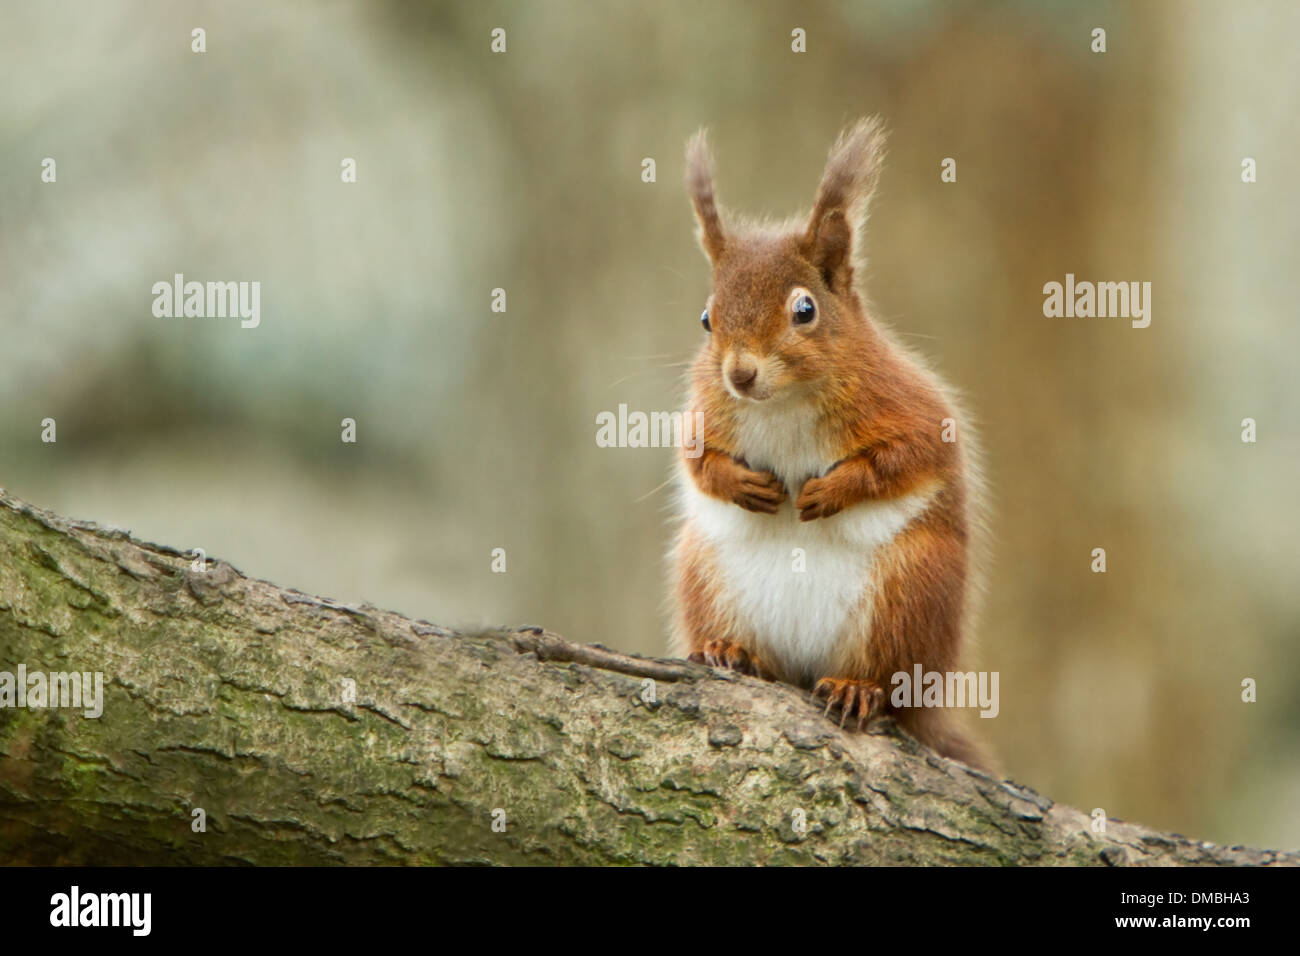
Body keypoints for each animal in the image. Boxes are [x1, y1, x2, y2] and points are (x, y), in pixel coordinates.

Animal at [665, 117, 987, 770]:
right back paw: (732, 652)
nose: (739, 375)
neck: (782, 401)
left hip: (909, 591)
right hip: (704, 573)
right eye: (707, 319)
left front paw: (831, 491)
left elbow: (906, 459)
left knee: (891, 681)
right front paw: (744, 484)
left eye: (805, 310)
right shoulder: (704, 417)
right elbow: (698, 464)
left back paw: (857, 688)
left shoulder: (911, 410)